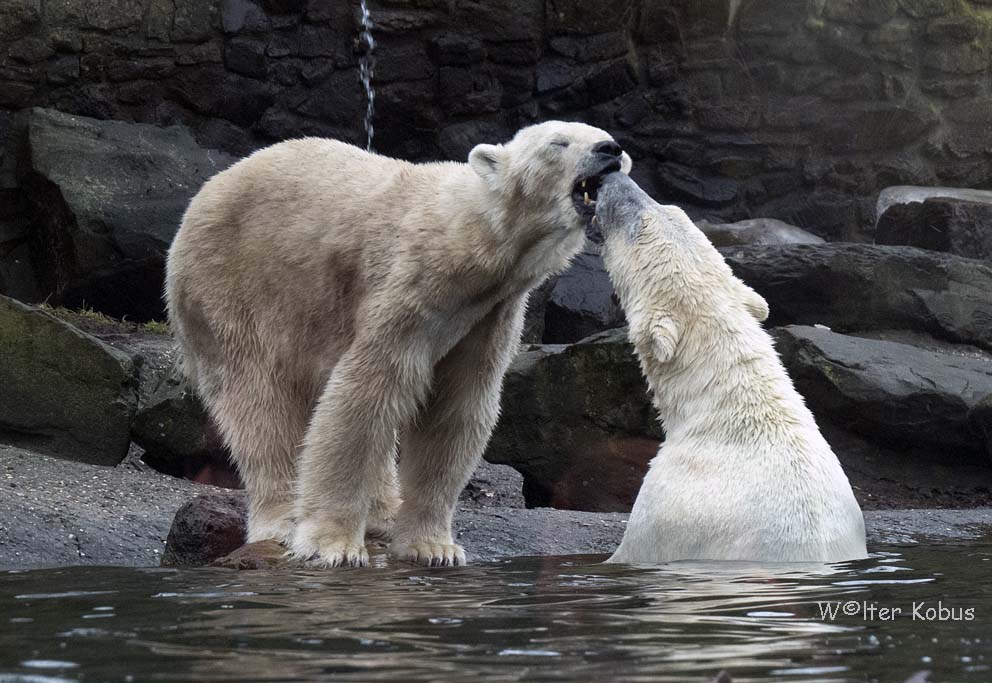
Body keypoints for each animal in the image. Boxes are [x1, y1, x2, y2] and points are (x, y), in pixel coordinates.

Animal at [163, 121, 628, 568]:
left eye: (603, 136)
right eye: (559, 142)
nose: (610, 149)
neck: (471, 239)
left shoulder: (489, 315)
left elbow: (455, 412)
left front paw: (434, 548)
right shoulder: (411, 288)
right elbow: (365, 395)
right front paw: (333, 545)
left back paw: (382, 515)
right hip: (230, 286)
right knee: (258, 405)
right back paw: (283, 520)